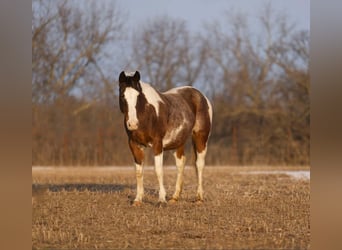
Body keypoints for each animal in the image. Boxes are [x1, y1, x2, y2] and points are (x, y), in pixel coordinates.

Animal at [119, 70, 212, 205]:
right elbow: (138, 172)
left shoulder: (158, 144)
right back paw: (175, 197)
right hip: (178, 142)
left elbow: (158, 170)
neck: (148, 113)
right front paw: (138, 199)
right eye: (122, 96)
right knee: (180, 163)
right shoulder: (134, 144)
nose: (132, 124)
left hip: (200, 138)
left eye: (138, 96)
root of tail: (202, 96)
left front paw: (161, 200)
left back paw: (199, 198)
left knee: (199, 165)